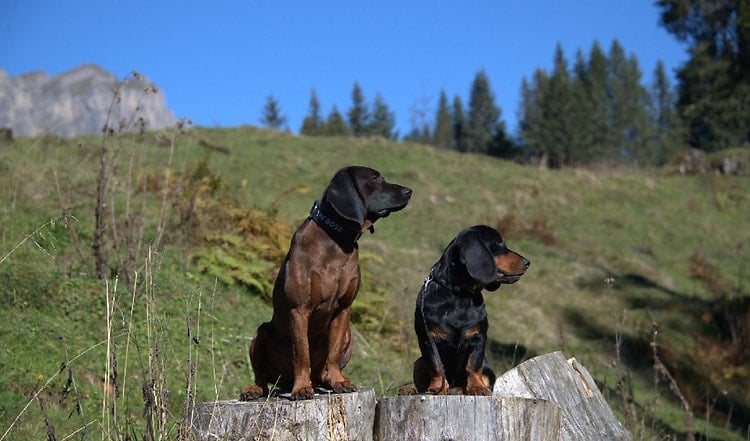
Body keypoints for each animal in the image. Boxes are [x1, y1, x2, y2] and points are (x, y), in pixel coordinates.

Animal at [241, 164, 414, 398]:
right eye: (374, 179)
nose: (409, 191)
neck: (336, 238)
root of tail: (284, 381)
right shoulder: (299, 310)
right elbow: (302, 354)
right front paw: (302, 387)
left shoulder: (343, 309)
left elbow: (333, 353)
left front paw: (338, 380)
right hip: (261, 334)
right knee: (262, 376)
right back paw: (257, 388)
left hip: (348, 335)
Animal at [406, 225, 528, 394]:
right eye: (498, 243)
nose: (527, 262)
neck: (460, 295)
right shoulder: (427, 340)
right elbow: (436, 366)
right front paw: (437, 387)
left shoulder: (478, 338)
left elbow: (473, 365)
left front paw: (477, 387)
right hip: (418, 362)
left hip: (488, 371)